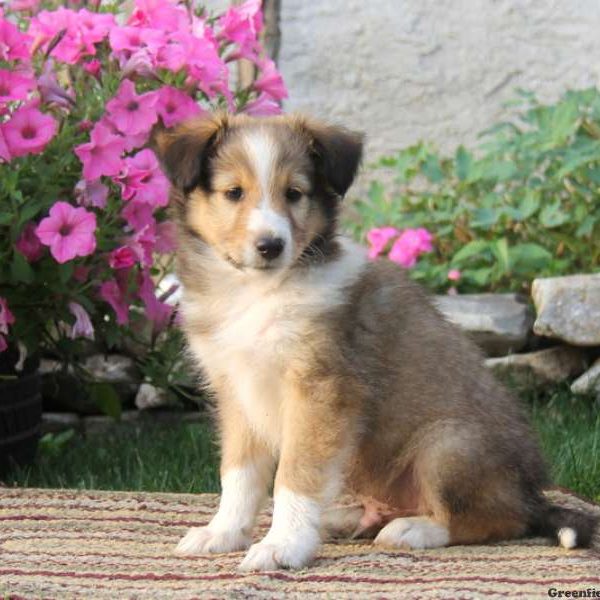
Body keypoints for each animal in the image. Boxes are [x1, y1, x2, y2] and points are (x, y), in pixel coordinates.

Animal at [155, 113, 596, 572]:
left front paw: (283, 545)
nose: (271, 245)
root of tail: (533, 495)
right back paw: (349, 518)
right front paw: (223, 533)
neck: (258, 292)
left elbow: (294, 475)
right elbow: (239, 474)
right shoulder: (237, 390)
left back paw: (416, 529)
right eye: (233, 193)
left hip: (448, 444)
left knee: (497, 518)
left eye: (294, 193)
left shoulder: (320, 392)